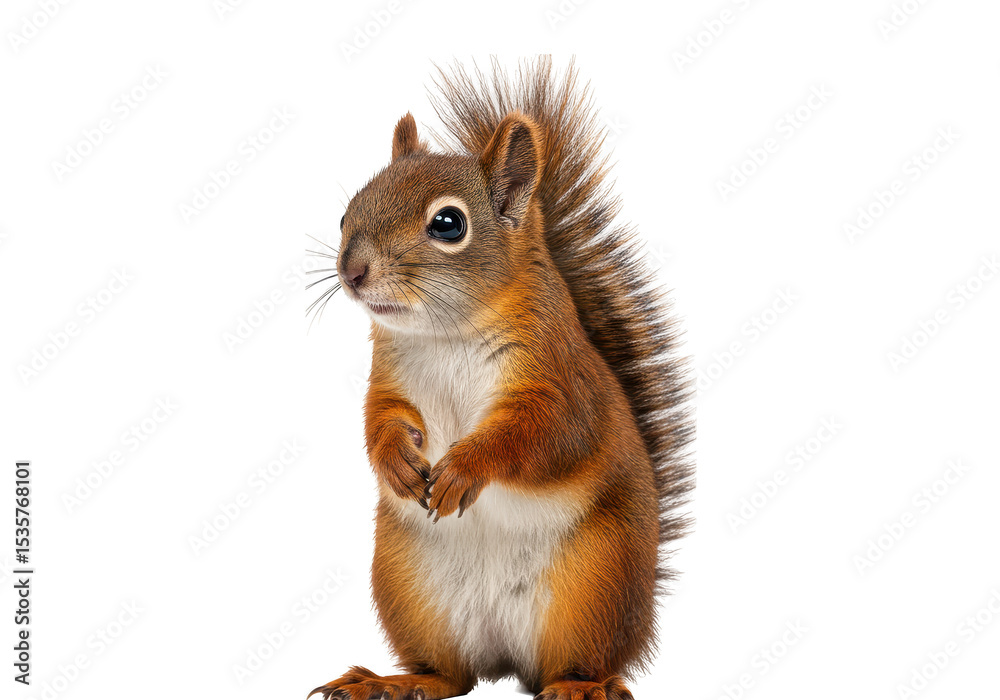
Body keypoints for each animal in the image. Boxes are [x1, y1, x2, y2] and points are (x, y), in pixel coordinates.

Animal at [309, 57, 693, 700]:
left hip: (593, 586)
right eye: (346, 213)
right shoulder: (389, 380)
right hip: (411, 591)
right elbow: (379, 420)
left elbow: (543, 436)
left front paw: (466, 468)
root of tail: (506, 658)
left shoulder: (560, 383)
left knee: (582, 662)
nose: (351, 271)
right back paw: (391, 681)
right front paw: (396, 460)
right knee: (451, 674)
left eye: (448, 223)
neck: (448, 334)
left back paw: (580, 686)